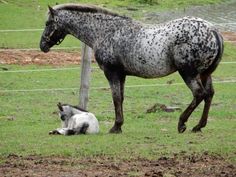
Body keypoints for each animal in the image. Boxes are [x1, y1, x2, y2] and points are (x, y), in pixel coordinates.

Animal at [40, 3, 223, 133]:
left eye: (48, 23)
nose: (42, 46)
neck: (105, 32)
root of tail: (213, 31)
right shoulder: (122, 75)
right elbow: (121, 98)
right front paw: (119, 126)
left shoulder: (112, 73)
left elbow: (116, 98)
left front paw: (115, 127)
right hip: (204, 74)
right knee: (209, 95)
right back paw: (198, 126)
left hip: (188, 73)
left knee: (199, 94)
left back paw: (182, 124)